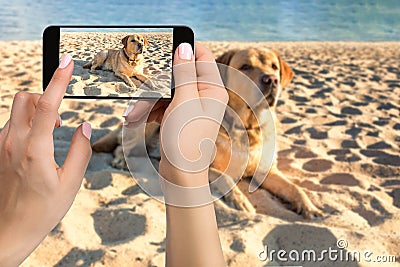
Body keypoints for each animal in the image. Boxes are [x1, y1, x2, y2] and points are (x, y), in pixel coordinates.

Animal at [92, 48, 324, 220]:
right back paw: (121, 160)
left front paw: (310, 207)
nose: (272, 80)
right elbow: (227, 180)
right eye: (245, 67)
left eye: (274, 67)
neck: (247, 125)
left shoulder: (266, 170)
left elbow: (295, 188)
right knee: (122, 146)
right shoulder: (207, 169)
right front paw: (242, 203)